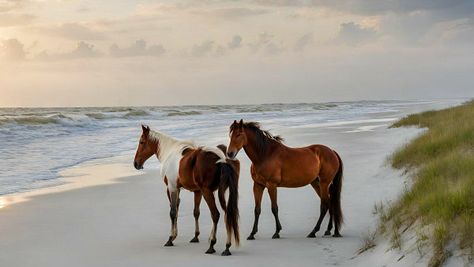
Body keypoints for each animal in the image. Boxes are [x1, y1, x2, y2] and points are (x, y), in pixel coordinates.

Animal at [133, 126, 241, 256]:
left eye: (141, 142)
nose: (136, 163)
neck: (169, 152)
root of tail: (222, 159)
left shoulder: (171, 188)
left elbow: (173, 212)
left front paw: (171, 238)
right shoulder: (195, 191)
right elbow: (194, 212)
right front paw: (195, 236)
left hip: (207, 192)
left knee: (216, 214)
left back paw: (212, 245)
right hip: (221, 192)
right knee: (227, 214)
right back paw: (226, 247)